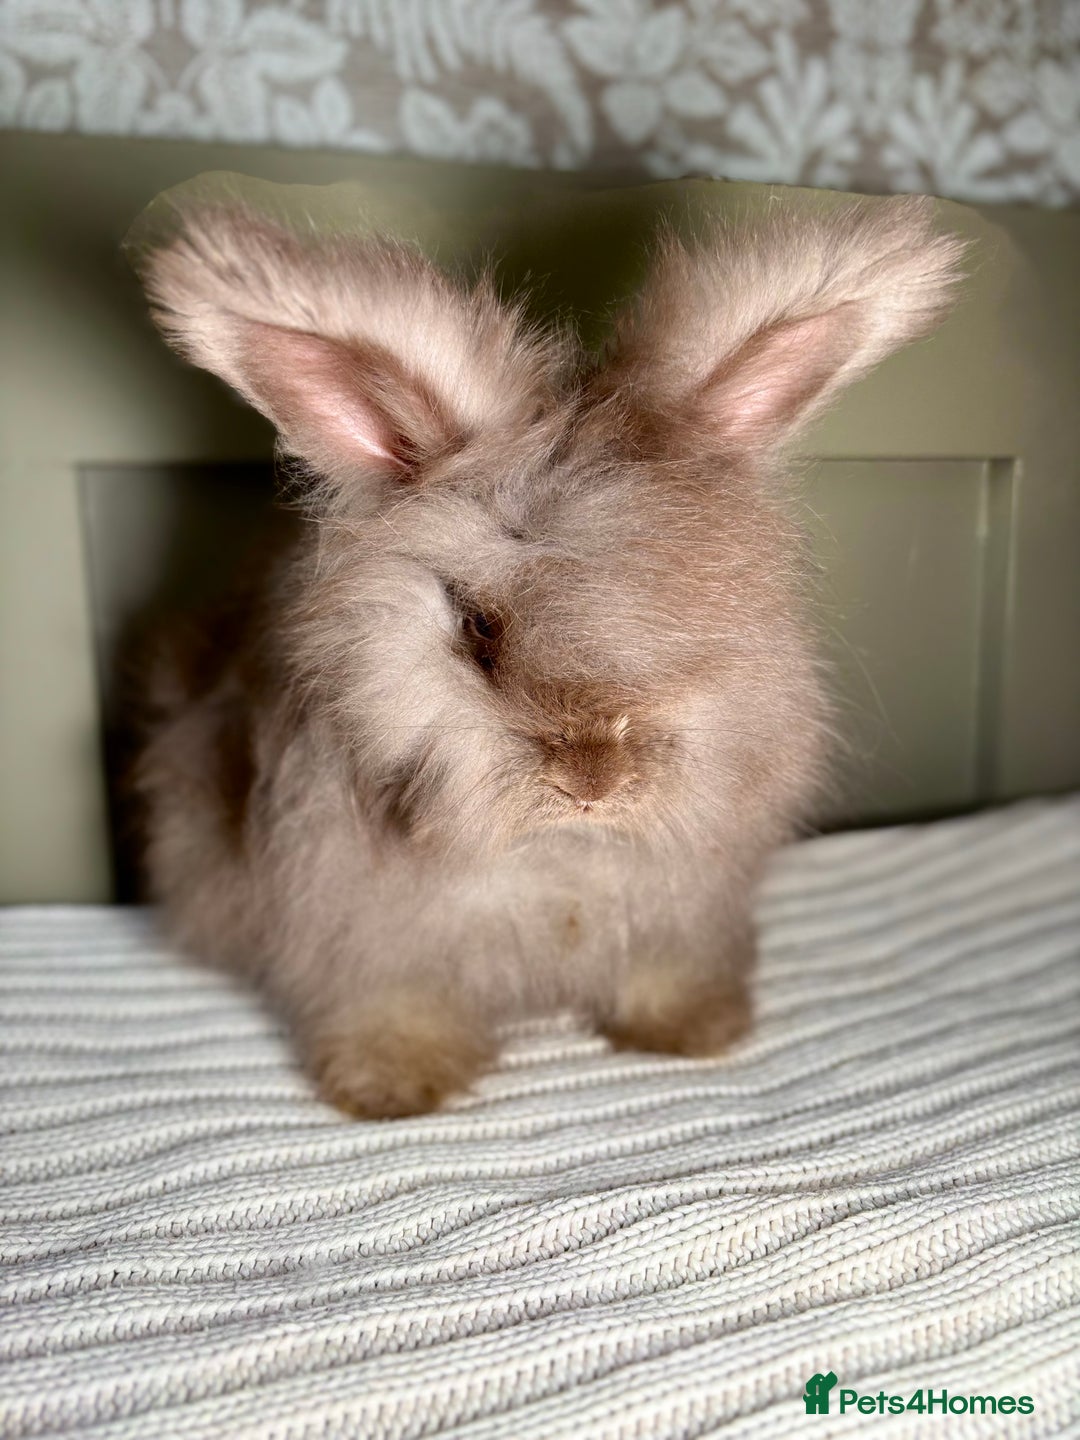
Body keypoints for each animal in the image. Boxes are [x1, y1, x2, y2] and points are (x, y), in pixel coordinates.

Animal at [131, 193, 964, 1118]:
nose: (594, 782)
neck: (558, 852)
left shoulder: (678, 907)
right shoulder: (358, 924)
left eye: (713, 610)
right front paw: (393, 1085)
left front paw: (694, 1031)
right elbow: (390, 1002)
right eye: (478, 630)